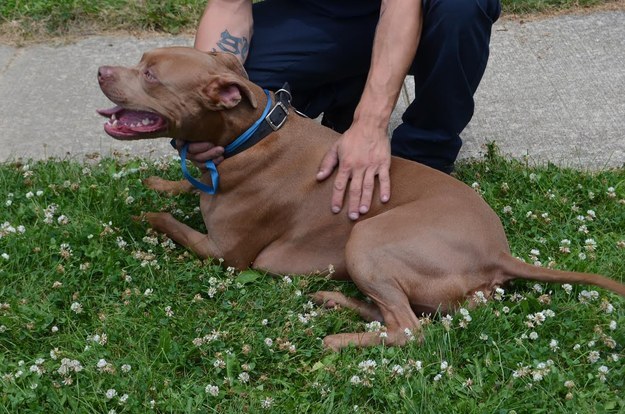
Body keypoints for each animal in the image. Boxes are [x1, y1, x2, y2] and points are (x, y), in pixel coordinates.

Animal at [97, 48, 624, 350]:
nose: (100, 70)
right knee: (401, 315)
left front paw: (142, 211)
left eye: (150, 75)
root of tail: (499, 254)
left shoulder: (224, 254)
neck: (247, 136)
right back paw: (334, 300)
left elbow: (166, 221)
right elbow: (182, 186)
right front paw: (165, 184)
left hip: (368, 238)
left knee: (408, 329)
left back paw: (337, 340)